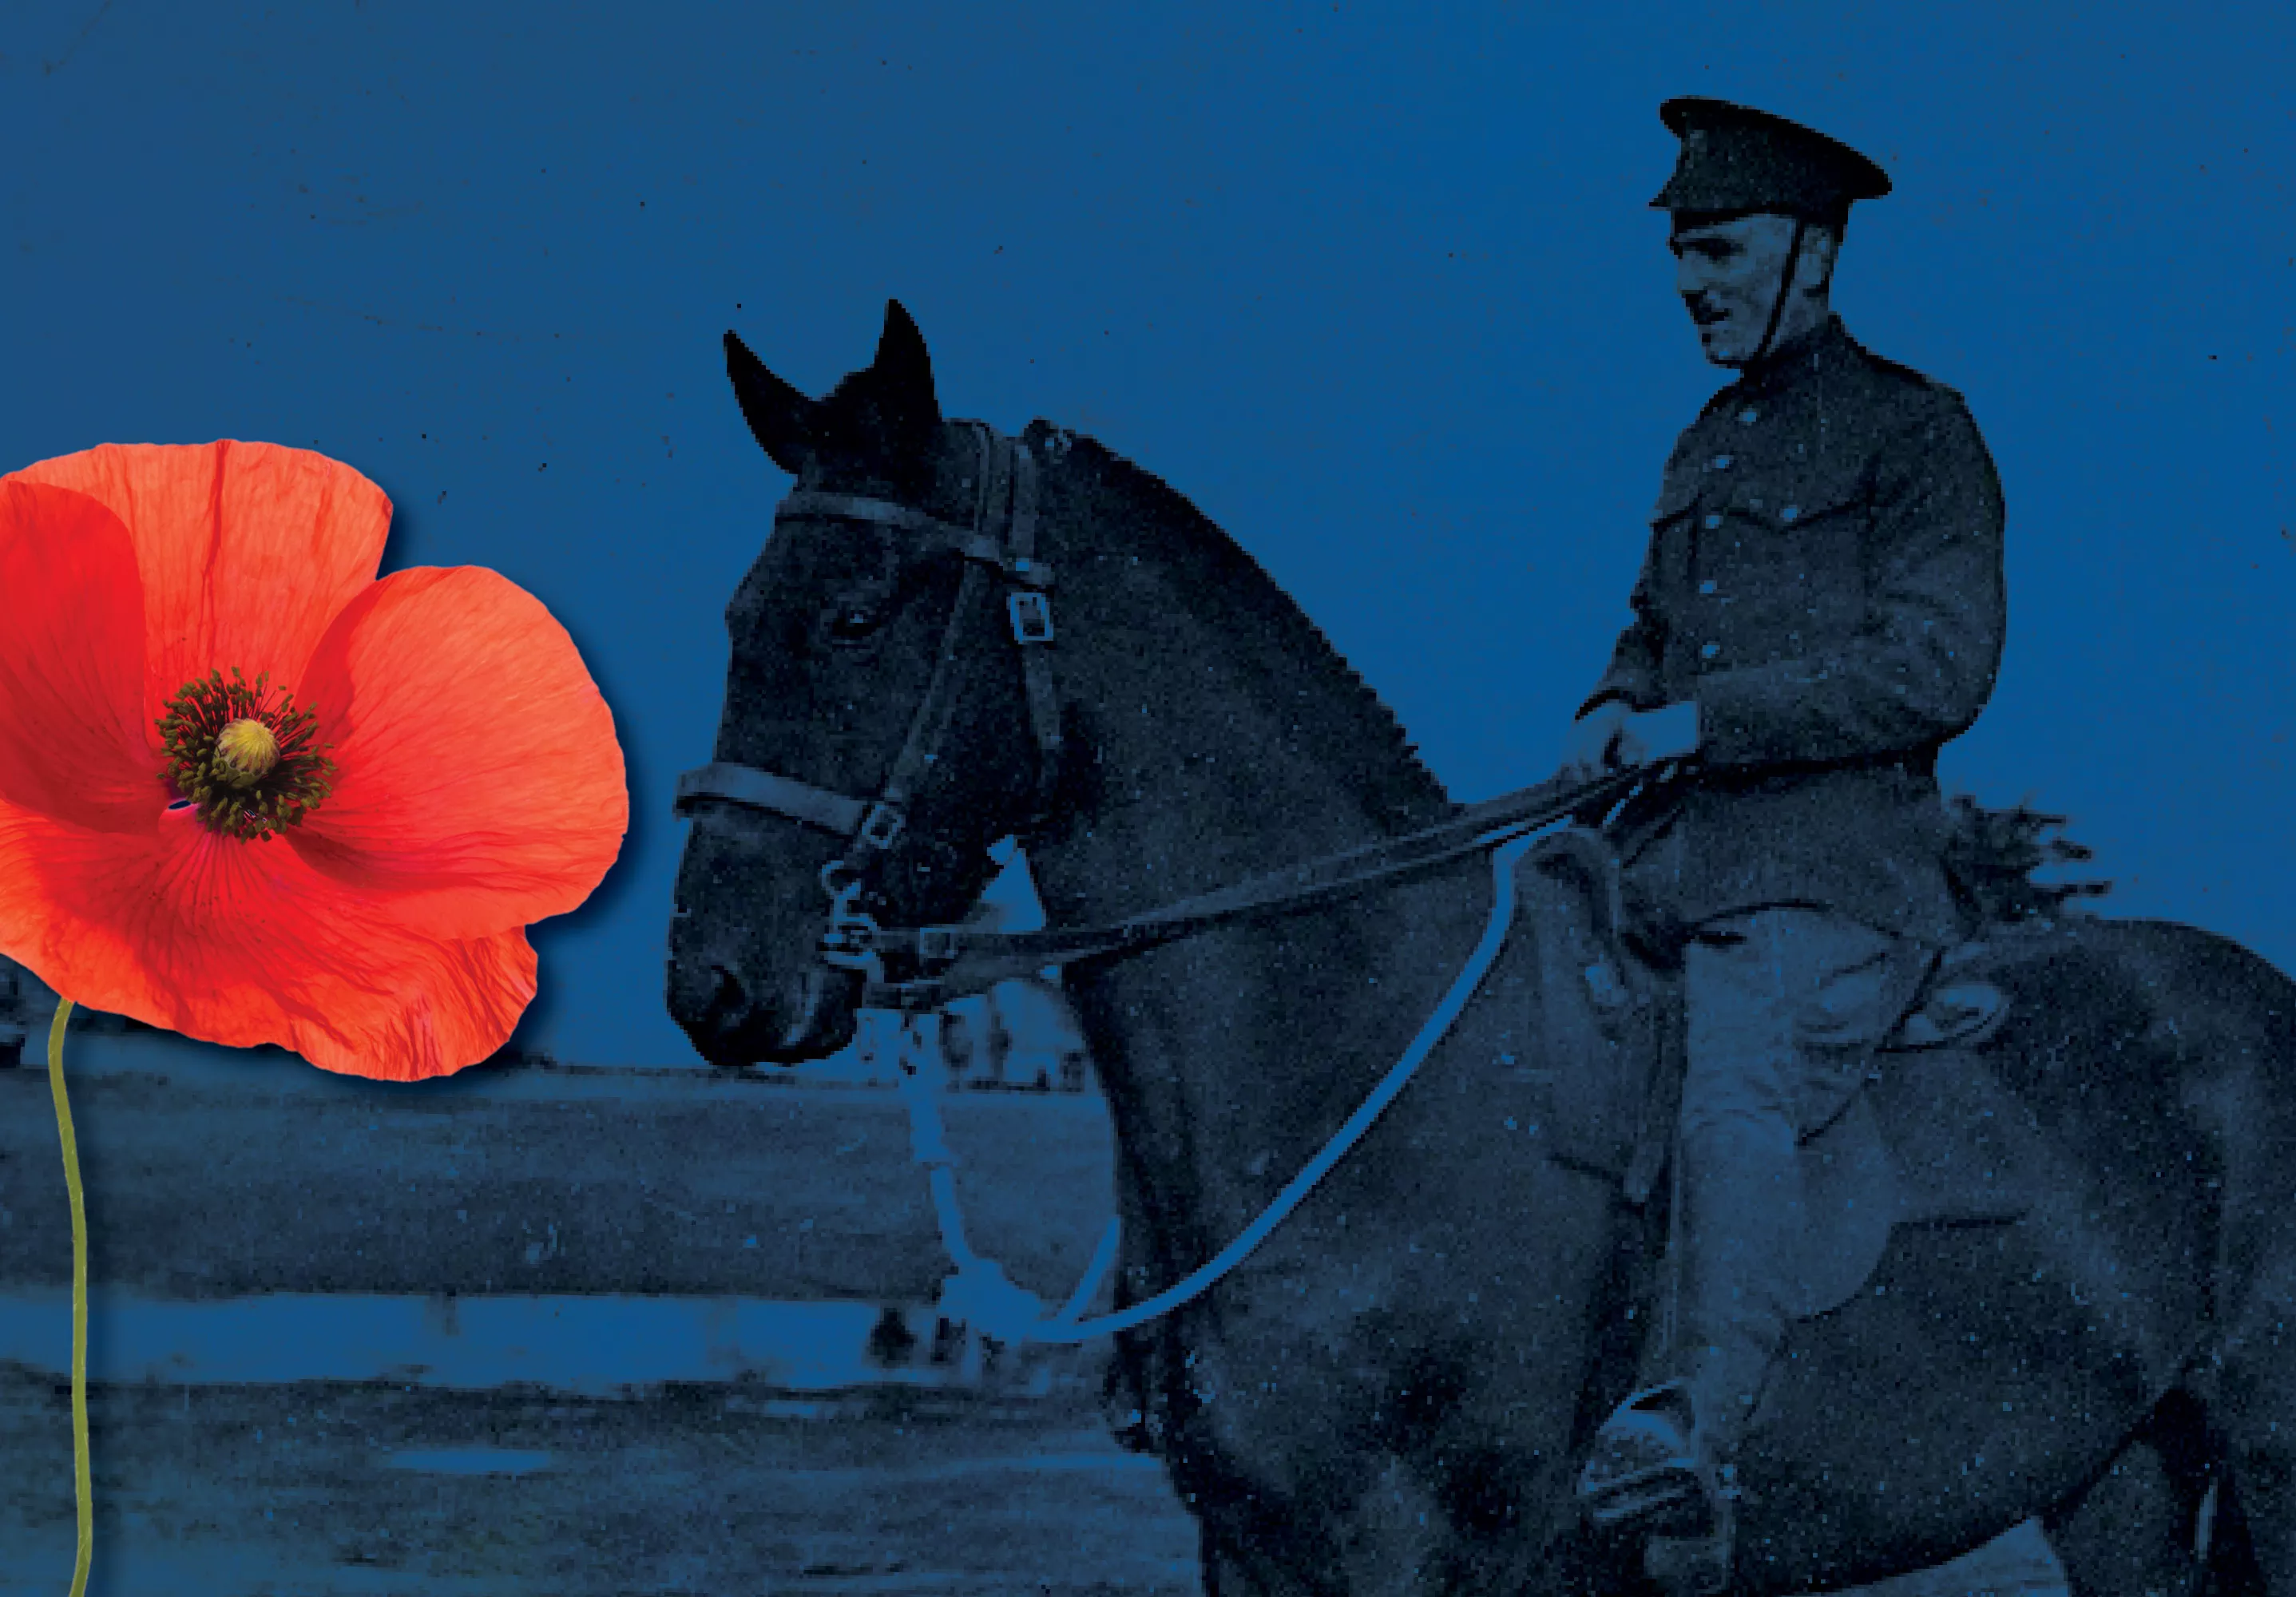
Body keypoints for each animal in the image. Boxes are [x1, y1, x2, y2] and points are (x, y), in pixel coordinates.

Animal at [665, 303, 2296, 1597]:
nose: (717, 984)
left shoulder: (1437, 1554)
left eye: (858, 618)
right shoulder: (1249, 1552)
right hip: (2119, 1480)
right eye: (739, 613)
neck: (1354, 1057)